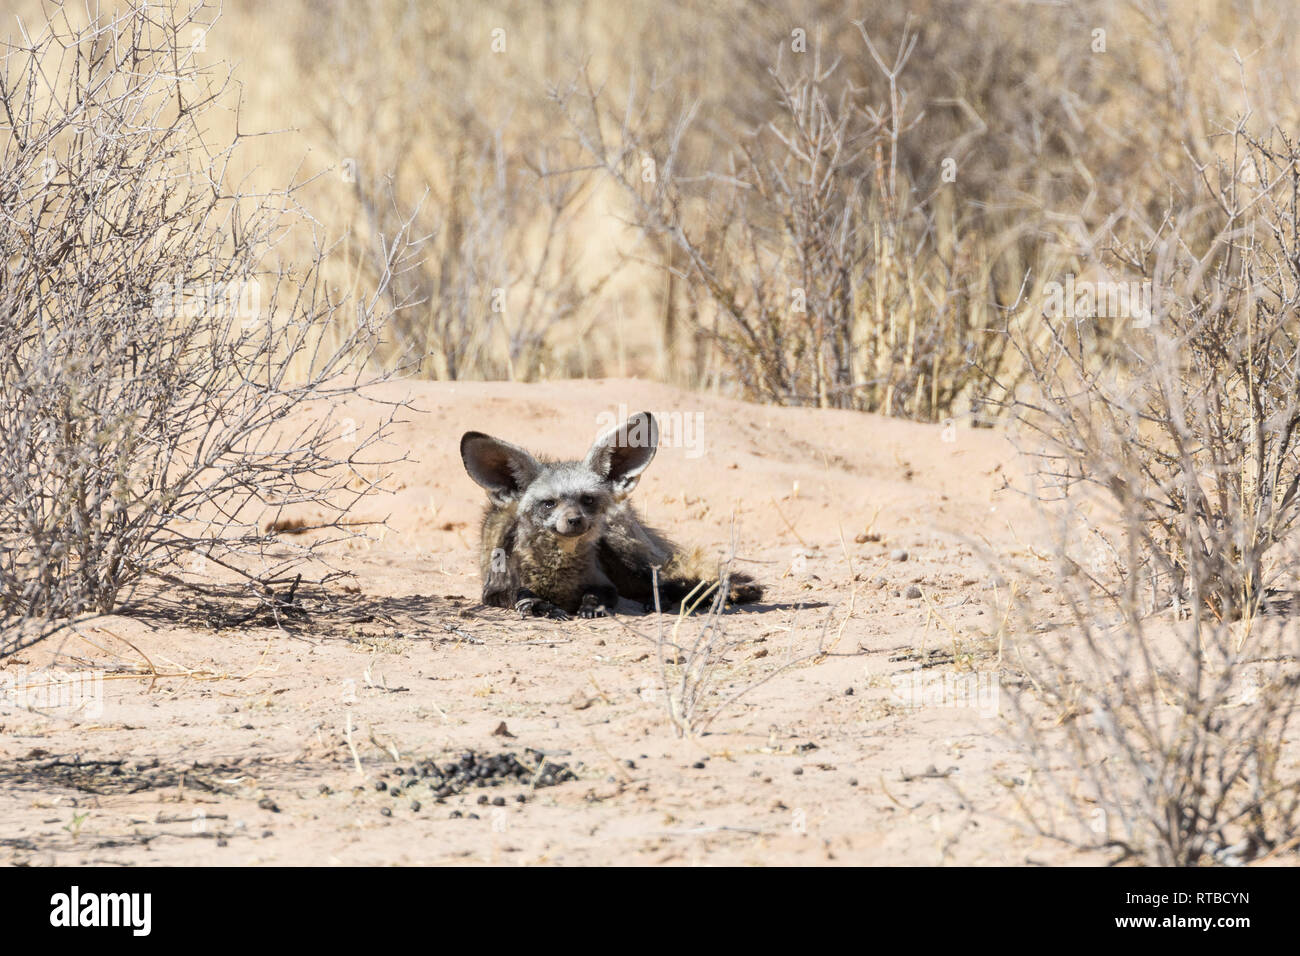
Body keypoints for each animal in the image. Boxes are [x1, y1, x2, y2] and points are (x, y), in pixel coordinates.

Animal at [459, 411, 762, 619]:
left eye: (588, 499)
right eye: (548, 504)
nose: (574, 520)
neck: (559, 578)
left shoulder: (606, 584)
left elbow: (598, 595)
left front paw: (589, 607)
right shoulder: (494, 589)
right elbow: (520, 596)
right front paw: (541, 606)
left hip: (623, 552)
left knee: (666, 582)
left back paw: (661, 600)